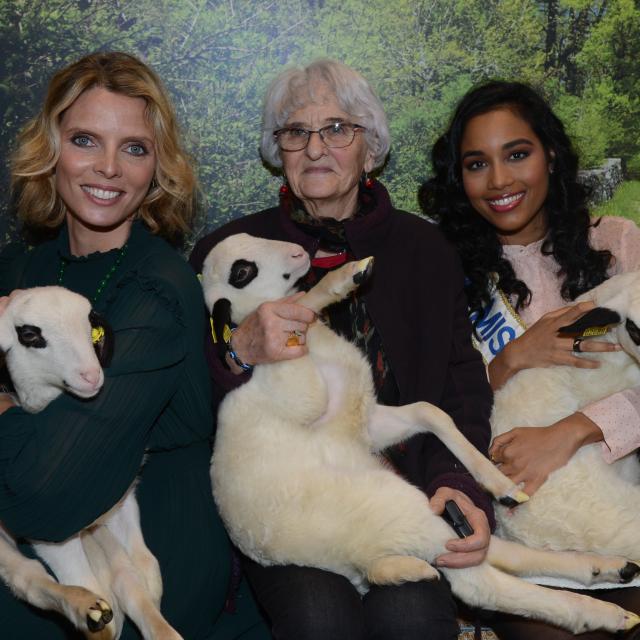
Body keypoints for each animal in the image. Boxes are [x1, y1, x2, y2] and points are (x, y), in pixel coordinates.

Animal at [0, 286, 181, 640]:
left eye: (90, 327)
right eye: (29, 334)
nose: (91, 376)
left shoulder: (120, 506)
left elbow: (145, 571)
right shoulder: (52, 537)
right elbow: (87, 581)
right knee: (28, 578)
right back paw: (88, 611)